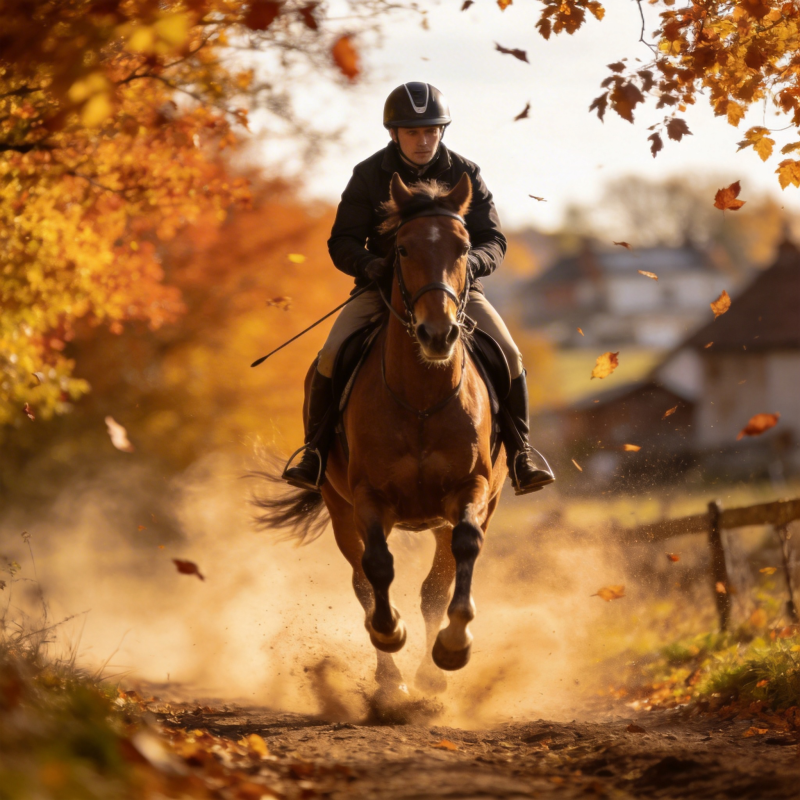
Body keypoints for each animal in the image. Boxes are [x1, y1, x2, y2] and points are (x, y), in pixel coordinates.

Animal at [253, 172, 507, 696]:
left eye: (464, 247)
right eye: (403, 249)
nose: (438, 334)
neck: (422, 396)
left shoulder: (470, 490)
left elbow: (463, 551)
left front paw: (454, 647)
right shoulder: (368, 498)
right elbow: (377, 570)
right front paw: (390, 637)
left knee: (435, 586)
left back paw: (430, 676)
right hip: (340, 507)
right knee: (364, 582)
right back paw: (391, 681)